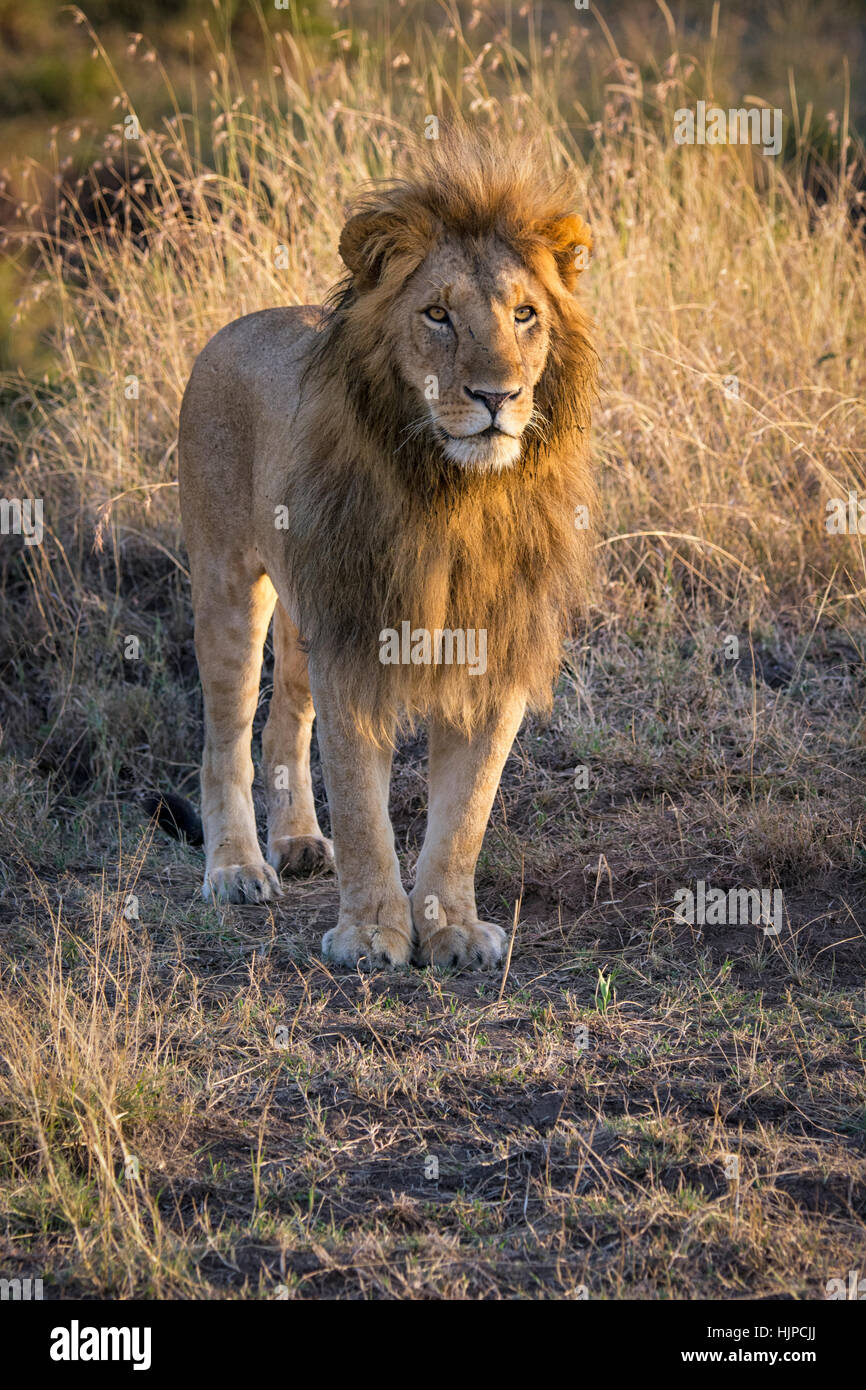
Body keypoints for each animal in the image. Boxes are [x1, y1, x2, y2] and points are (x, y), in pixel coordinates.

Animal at [174, 135, 594, 973]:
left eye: (525, 314)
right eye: (437, 315)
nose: (497, 397)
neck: (456, 497)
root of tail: (239, 324)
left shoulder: (493, 651)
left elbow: (465, 812)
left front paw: (453, 929)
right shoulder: (356, 639)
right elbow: (364, 808)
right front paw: (371, 934)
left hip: (305, 608)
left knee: (283, 721)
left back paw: (301, 842)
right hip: (230, 582)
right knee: (226, 737)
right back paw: (237, 869)